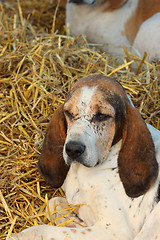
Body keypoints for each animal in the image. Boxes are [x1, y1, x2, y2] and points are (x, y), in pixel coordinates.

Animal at [9, 74, 160, 239]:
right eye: (68, 113)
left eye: (102, 115)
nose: (73, 149)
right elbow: (53, 203)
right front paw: (72, 220)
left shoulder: (115, 232)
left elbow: (41, 230)